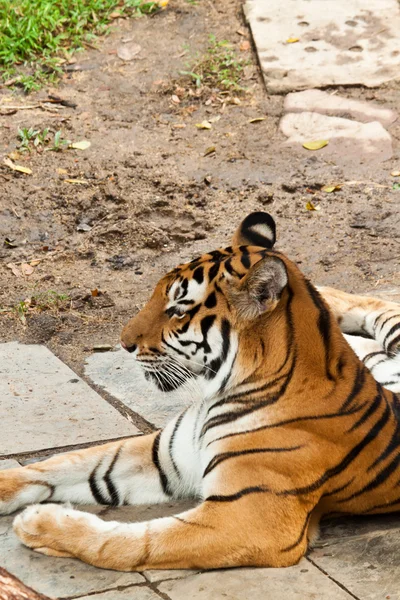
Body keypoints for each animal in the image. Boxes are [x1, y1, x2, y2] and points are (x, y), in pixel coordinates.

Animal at [0, 212, 400, 572]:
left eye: (177, 310)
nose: (124, 343)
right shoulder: (165, 457)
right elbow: (70, 463)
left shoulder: (249, 519)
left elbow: (132, 542)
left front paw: (39, 523)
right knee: (375, 315)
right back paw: (330, 298)